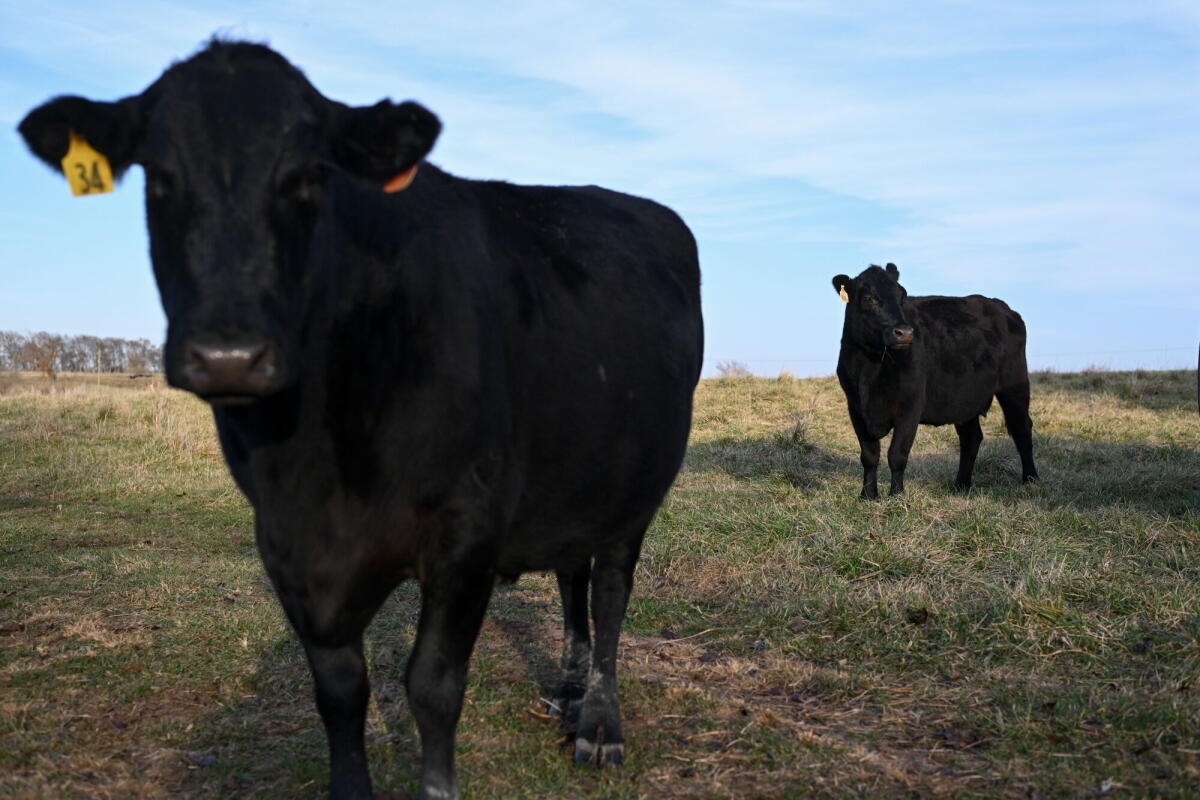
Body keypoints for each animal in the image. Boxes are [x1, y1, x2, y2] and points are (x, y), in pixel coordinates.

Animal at [19, 40, 704, 800]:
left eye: (307, 177)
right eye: (160, 177)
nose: (229, 356)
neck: (319, 464)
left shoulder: (467, 529)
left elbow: (433, 686)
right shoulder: (284, 544)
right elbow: (341, 692)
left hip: (636, 489)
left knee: (609, 593)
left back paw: (600, 724)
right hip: (575, 474)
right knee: (572, 575)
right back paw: (568, 689)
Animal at [831, 263, 1037, 499]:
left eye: (902, 297)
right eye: (869, 298)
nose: (905, 332)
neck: (870, 367)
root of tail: (1001, 307)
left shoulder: (910, 406)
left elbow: (897, 454)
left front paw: (897, 496)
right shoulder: (855, 407)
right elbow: (869, 456)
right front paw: (867, 496)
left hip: (1015, 384)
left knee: (1022, 428)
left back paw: (1031, 479)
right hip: (965, 399)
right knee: (971, 438)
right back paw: (961, 485)